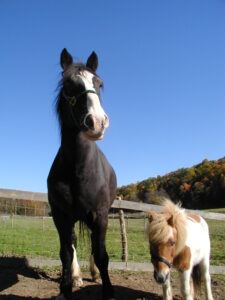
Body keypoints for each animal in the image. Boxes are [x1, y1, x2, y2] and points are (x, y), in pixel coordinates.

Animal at [48, 48, 118, 298]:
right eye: (69, 83)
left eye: (99, 83)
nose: (97, 122)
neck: (78, 168)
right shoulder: (60, 216)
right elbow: (66, 253)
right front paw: (66, 288)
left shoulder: (100, 215)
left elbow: (102, 254)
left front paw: (108, 290)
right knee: (74, 243)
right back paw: (76, 276)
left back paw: (94, 274)